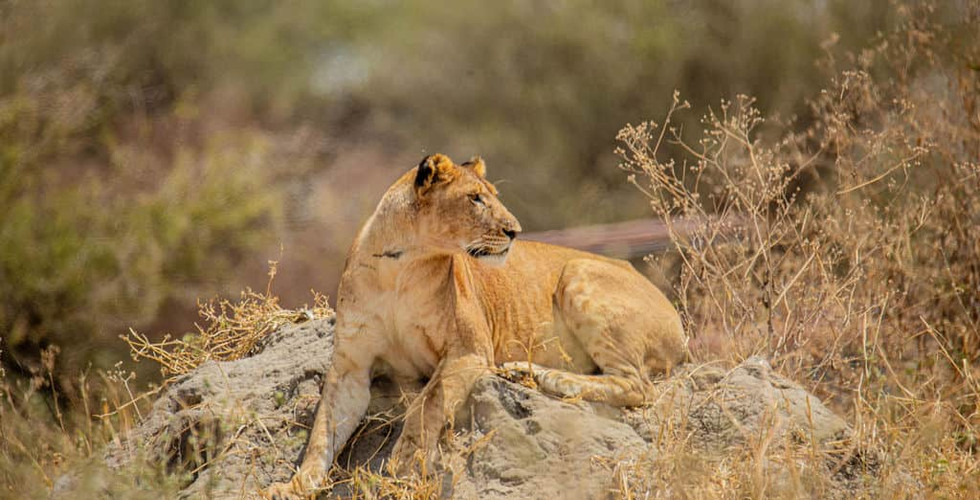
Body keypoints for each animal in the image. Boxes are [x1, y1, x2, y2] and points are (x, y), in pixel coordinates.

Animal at [264, 154, 688, 498]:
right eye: (475, 198)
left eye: (493, 196)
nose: (515, 231)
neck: (402, 267)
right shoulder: (350, 368)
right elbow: (322, 433)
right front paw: (294, 486)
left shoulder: (470, 350)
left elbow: (427, 404)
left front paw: (402, 466)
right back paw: (523, 373)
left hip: (577, 270)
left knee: (637, 385)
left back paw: (548, 378)